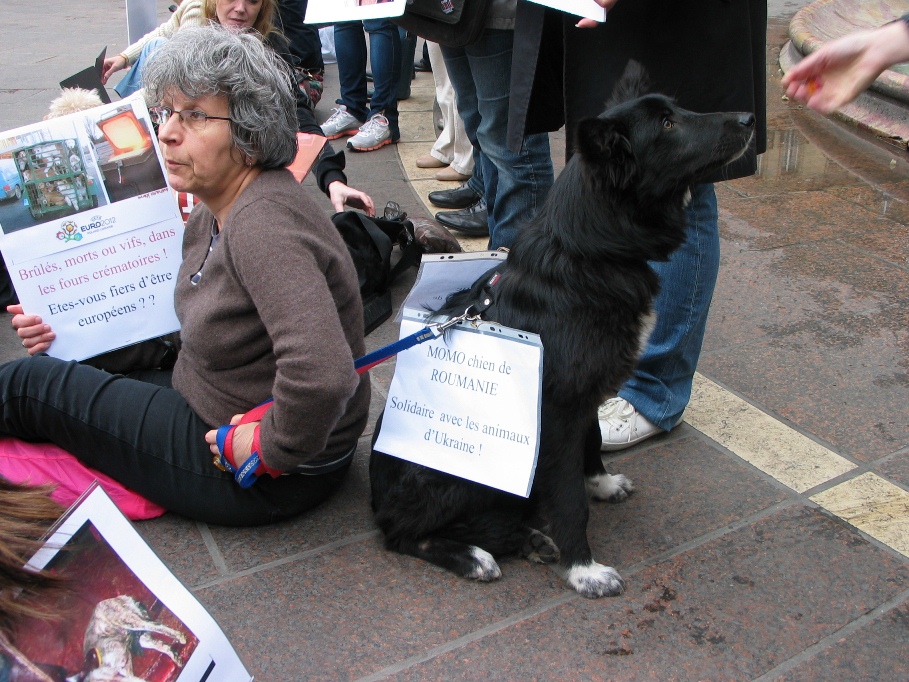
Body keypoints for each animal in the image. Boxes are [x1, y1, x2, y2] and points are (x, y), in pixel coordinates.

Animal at [368, 71, 752, 596]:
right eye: (668, 125)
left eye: (677, 112)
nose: (749, 118)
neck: (586, 251)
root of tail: (374, 500)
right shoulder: (557, 415)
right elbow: (570, 501)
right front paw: (583, 568)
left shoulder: (583, 396)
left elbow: (593, 440)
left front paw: (601, 482)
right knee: (402, 534)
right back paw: (474, 555)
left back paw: (525, 537)